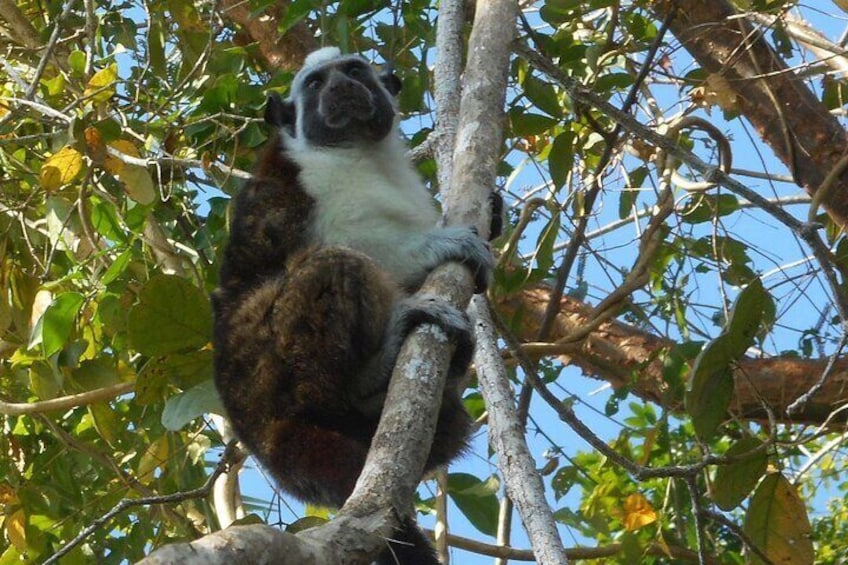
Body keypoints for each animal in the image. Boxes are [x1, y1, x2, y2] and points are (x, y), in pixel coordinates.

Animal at [212, 48, 496, 564]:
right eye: (316, 83)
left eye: (354, 71)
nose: (341, 88)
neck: (360, 151)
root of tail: (260, 430)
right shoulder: (310, 179)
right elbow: (352, 241)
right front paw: (439, 245)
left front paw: (496, 214)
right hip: (261, 369)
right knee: (335, 266)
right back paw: (369, 378)